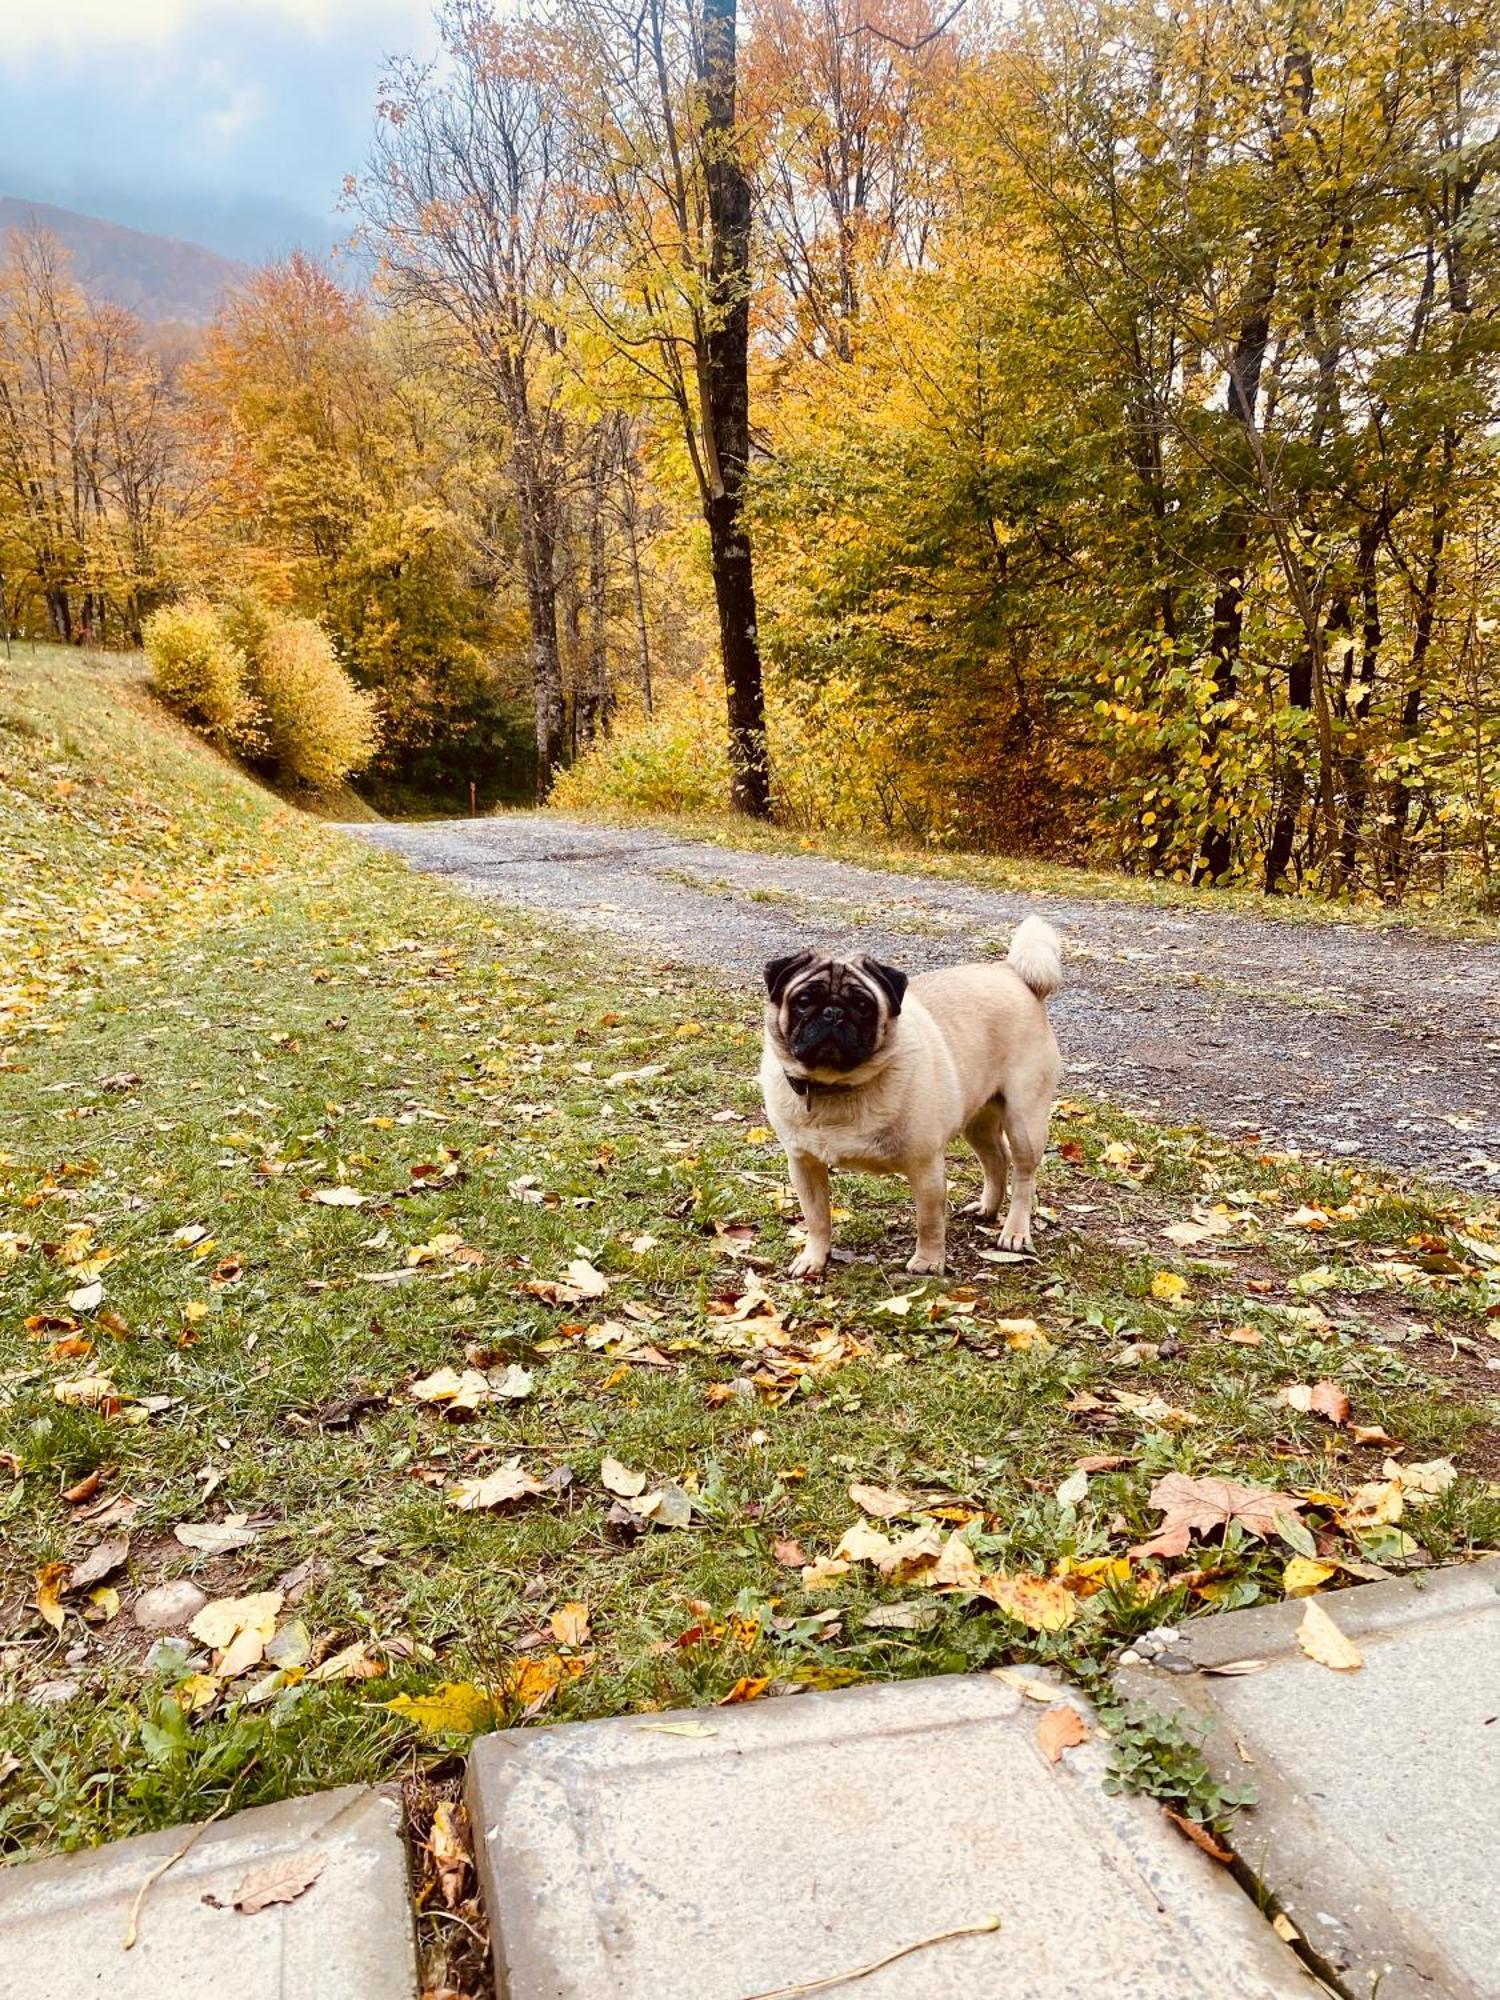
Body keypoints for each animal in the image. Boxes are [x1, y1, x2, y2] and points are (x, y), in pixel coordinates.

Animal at [764, 916, 1072, 1272]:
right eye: (803, 1001)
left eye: (862, 1006)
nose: (833, 1013)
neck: (837, 1087)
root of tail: (1013, 973)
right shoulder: (804, 1164)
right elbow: (816, 1218)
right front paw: (814, 1258)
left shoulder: (925, 1167)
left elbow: (929, 1221)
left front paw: (927, 1262)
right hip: (978, 1121)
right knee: (996, 1159)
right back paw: (986, 1208)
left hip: (1024, 1118)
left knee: (1023, 1175)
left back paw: (1015, 1232)